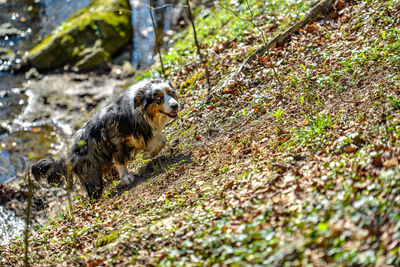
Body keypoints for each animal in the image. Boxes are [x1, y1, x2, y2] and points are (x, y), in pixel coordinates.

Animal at [30, 79, 180, 199]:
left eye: (171, 93)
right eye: (158, 98)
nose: (175, 105)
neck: (139, 113)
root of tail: (65, 156)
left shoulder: (142, 134)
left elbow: (162, 140)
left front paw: (149, 154)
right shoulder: (115, 140)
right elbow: (119, 160)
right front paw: (126, 177)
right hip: (92, 176)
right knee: (93, 194)